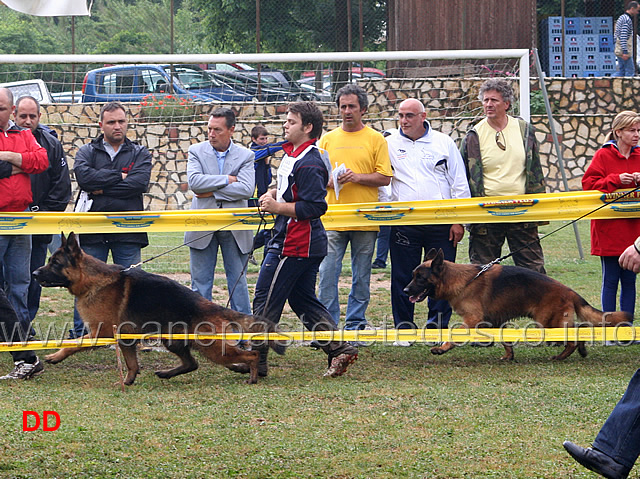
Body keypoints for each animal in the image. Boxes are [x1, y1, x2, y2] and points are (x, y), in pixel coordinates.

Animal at [32, 232, 282, 386]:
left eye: (55, 263)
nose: (34, 273)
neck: (92, 280)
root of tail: (215, 307)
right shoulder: (125, 339)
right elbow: (132, 364)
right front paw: (128, 381)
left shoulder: (100, 332)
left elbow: (73, 344)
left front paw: (56, 355)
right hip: (173, 341)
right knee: (192, 363)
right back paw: (169, 373)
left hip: (210, 347)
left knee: (251, 354)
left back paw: (252, 375)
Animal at [402, 249, 632, 362]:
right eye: (413, 275)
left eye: (420, 278)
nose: (405, 290)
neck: (461, 279)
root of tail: (568, 290)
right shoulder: (491, 321)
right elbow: (505, 339)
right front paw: (508, 355)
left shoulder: (472, 319)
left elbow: (454, 334)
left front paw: (442, 349)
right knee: (580, 330)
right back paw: (580, 351)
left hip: (548, 322)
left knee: (574, 336)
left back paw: (561, 356)